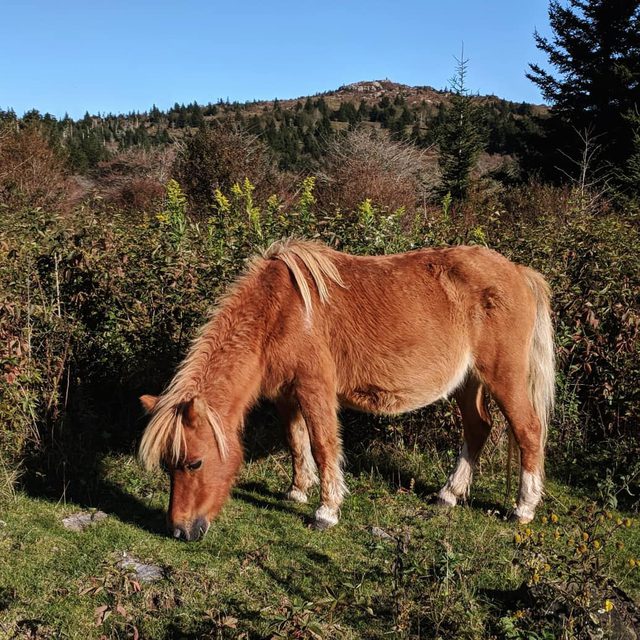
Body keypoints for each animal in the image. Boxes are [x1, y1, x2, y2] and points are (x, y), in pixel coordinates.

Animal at [139, 239, 554, 541]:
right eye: (167, 465)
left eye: (195, 462)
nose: (180, 530)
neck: (280, 311)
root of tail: (518, 272)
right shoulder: (287, 395)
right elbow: (296, 441)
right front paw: (297, 491)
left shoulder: (315, 389)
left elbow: (323, 445)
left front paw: (326, 511)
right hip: (468, 382)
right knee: (477, 428)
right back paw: (448, 495)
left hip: (503, 376)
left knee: (528, 430)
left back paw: (523, 508)